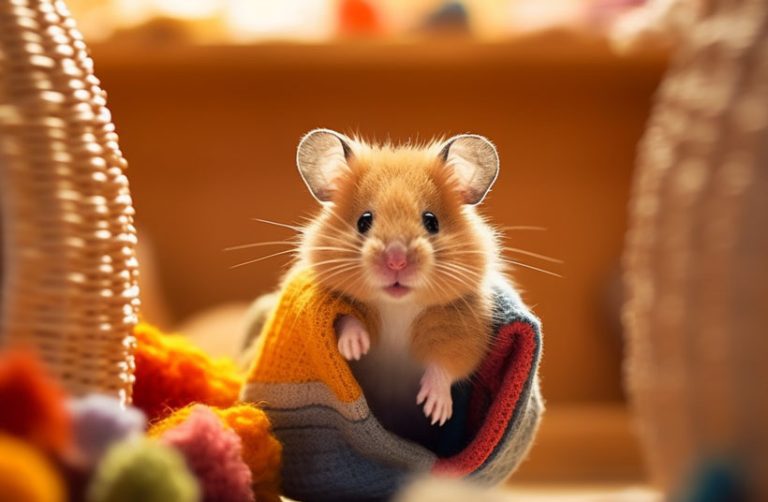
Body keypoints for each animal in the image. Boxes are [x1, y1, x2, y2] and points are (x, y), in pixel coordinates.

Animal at [285, 129, 503, 447]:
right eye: (364, 221)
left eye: (431, 221)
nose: (396, 261)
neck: (397, 306)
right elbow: (344, 320)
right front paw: (354, 348)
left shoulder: (464, 330)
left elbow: (447, 364)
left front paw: (435, 411)